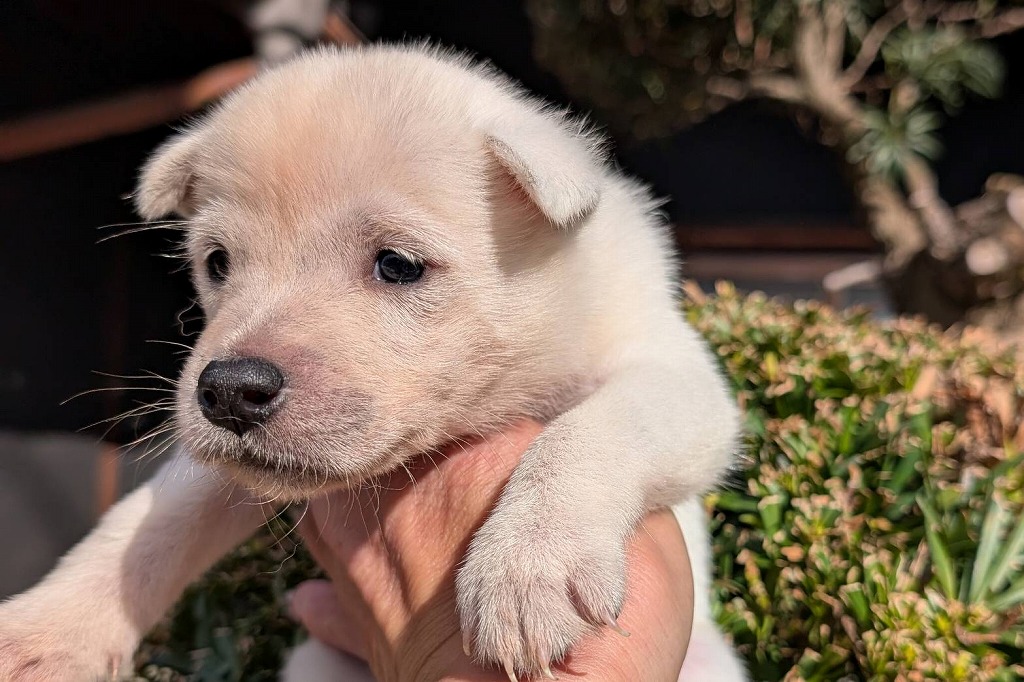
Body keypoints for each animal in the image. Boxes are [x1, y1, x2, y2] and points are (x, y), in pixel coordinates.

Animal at [0, 44, 746, 681]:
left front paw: (527, 560)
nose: (229, 392)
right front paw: (48, 631)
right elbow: (153, 523)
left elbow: (591, 432)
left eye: (397, 265)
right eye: (217, 263)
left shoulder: (680, 379)